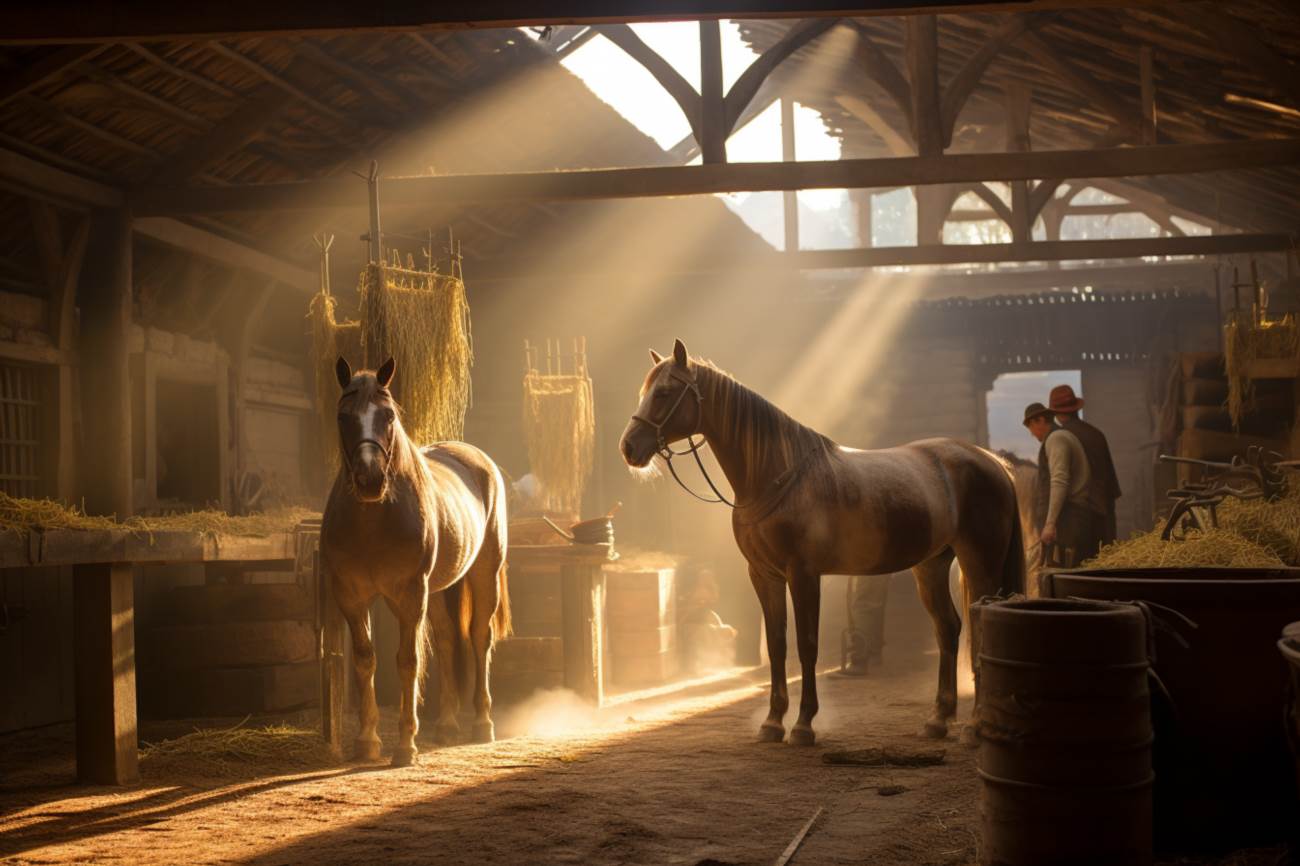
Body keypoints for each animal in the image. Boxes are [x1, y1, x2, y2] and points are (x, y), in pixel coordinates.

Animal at [319, 356, 512, 764]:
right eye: (344, 416)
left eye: (388, 415)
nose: (370, 479)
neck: (374, 521)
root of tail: (476, 459)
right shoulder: (351, 596)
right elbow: (365, 658)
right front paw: (367, 741)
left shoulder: (409, 595)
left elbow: (408, 660)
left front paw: (406, 744)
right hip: (436, 591)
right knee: (447, 639)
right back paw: (447, 725)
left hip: (484, 574)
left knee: (479, 638)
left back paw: (482, 724)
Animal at [618, 340, 1024, 743]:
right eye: (643, 392)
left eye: (664, 392)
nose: (629, 448)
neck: (778, 476)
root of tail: (993, 463)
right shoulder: (764, 575)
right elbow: (777, 646)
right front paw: (772, 723)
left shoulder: (803, 575)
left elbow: (807, 645)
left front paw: (802, 724)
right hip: (931, 566)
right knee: (948, 629)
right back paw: (938, 720)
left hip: (979, 563)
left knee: (980, 627)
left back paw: (974, 725)